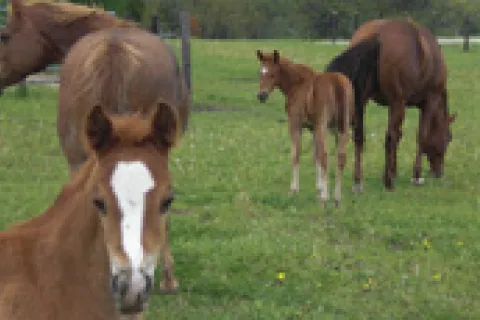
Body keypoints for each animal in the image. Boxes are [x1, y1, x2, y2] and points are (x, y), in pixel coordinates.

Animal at [256, 48, 354, 206]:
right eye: (260, 73)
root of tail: (337, 82)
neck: (297, 84)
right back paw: (337, 198)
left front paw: (294, 189)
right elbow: (315, 156)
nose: (261, 95)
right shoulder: (313, 128)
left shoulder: (295, 124)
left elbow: (296, 154)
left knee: (325, 156)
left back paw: (326, 197)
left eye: (273, 74)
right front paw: (319, 188)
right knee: (340, 157)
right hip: (341, 128)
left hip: (323, 126)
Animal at [326, 17, 458, 190]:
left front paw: (393, 170)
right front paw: (416, 176)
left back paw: (358, 182)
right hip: (397, 101)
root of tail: (377, 35)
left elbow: (399, 134)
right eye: (449, 138)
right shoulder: (428, 101)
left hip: (361, 101)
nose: (439, 173)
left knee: (360, 137)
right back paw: (388, 182)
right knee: (389, 137)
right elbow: (421, 136)